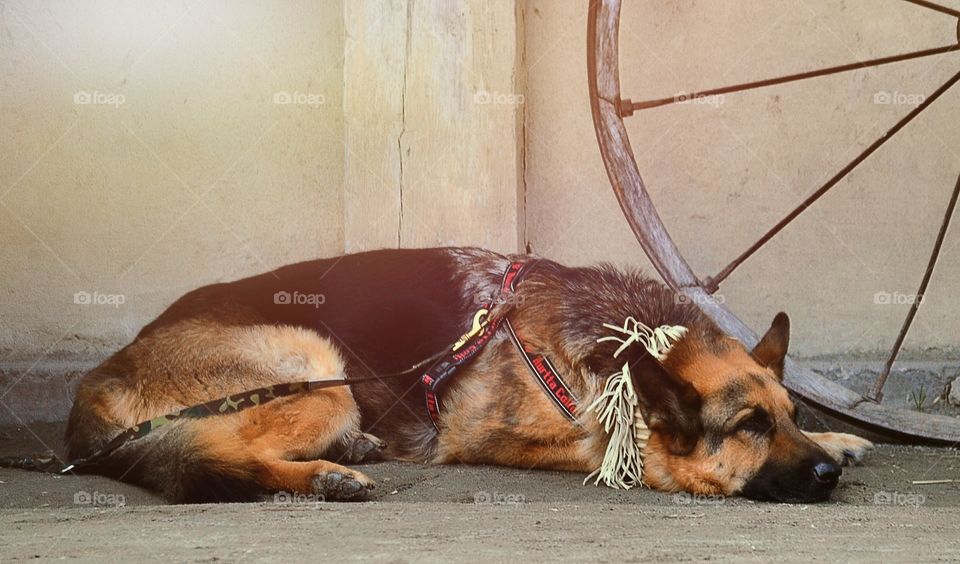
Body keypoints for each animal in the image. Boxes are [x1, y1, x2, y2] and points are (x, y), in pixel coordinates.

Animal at [60, 247, 872, 502]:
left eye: (789, 417)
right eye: (750, 428)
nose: (827, 476)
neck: (623, 340)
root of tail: (97, 381)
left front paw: (841, 438)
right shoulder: (492, 435)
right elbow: (606, 445)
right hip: (315, 359)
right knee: (225, 452)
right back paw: (324, 475)